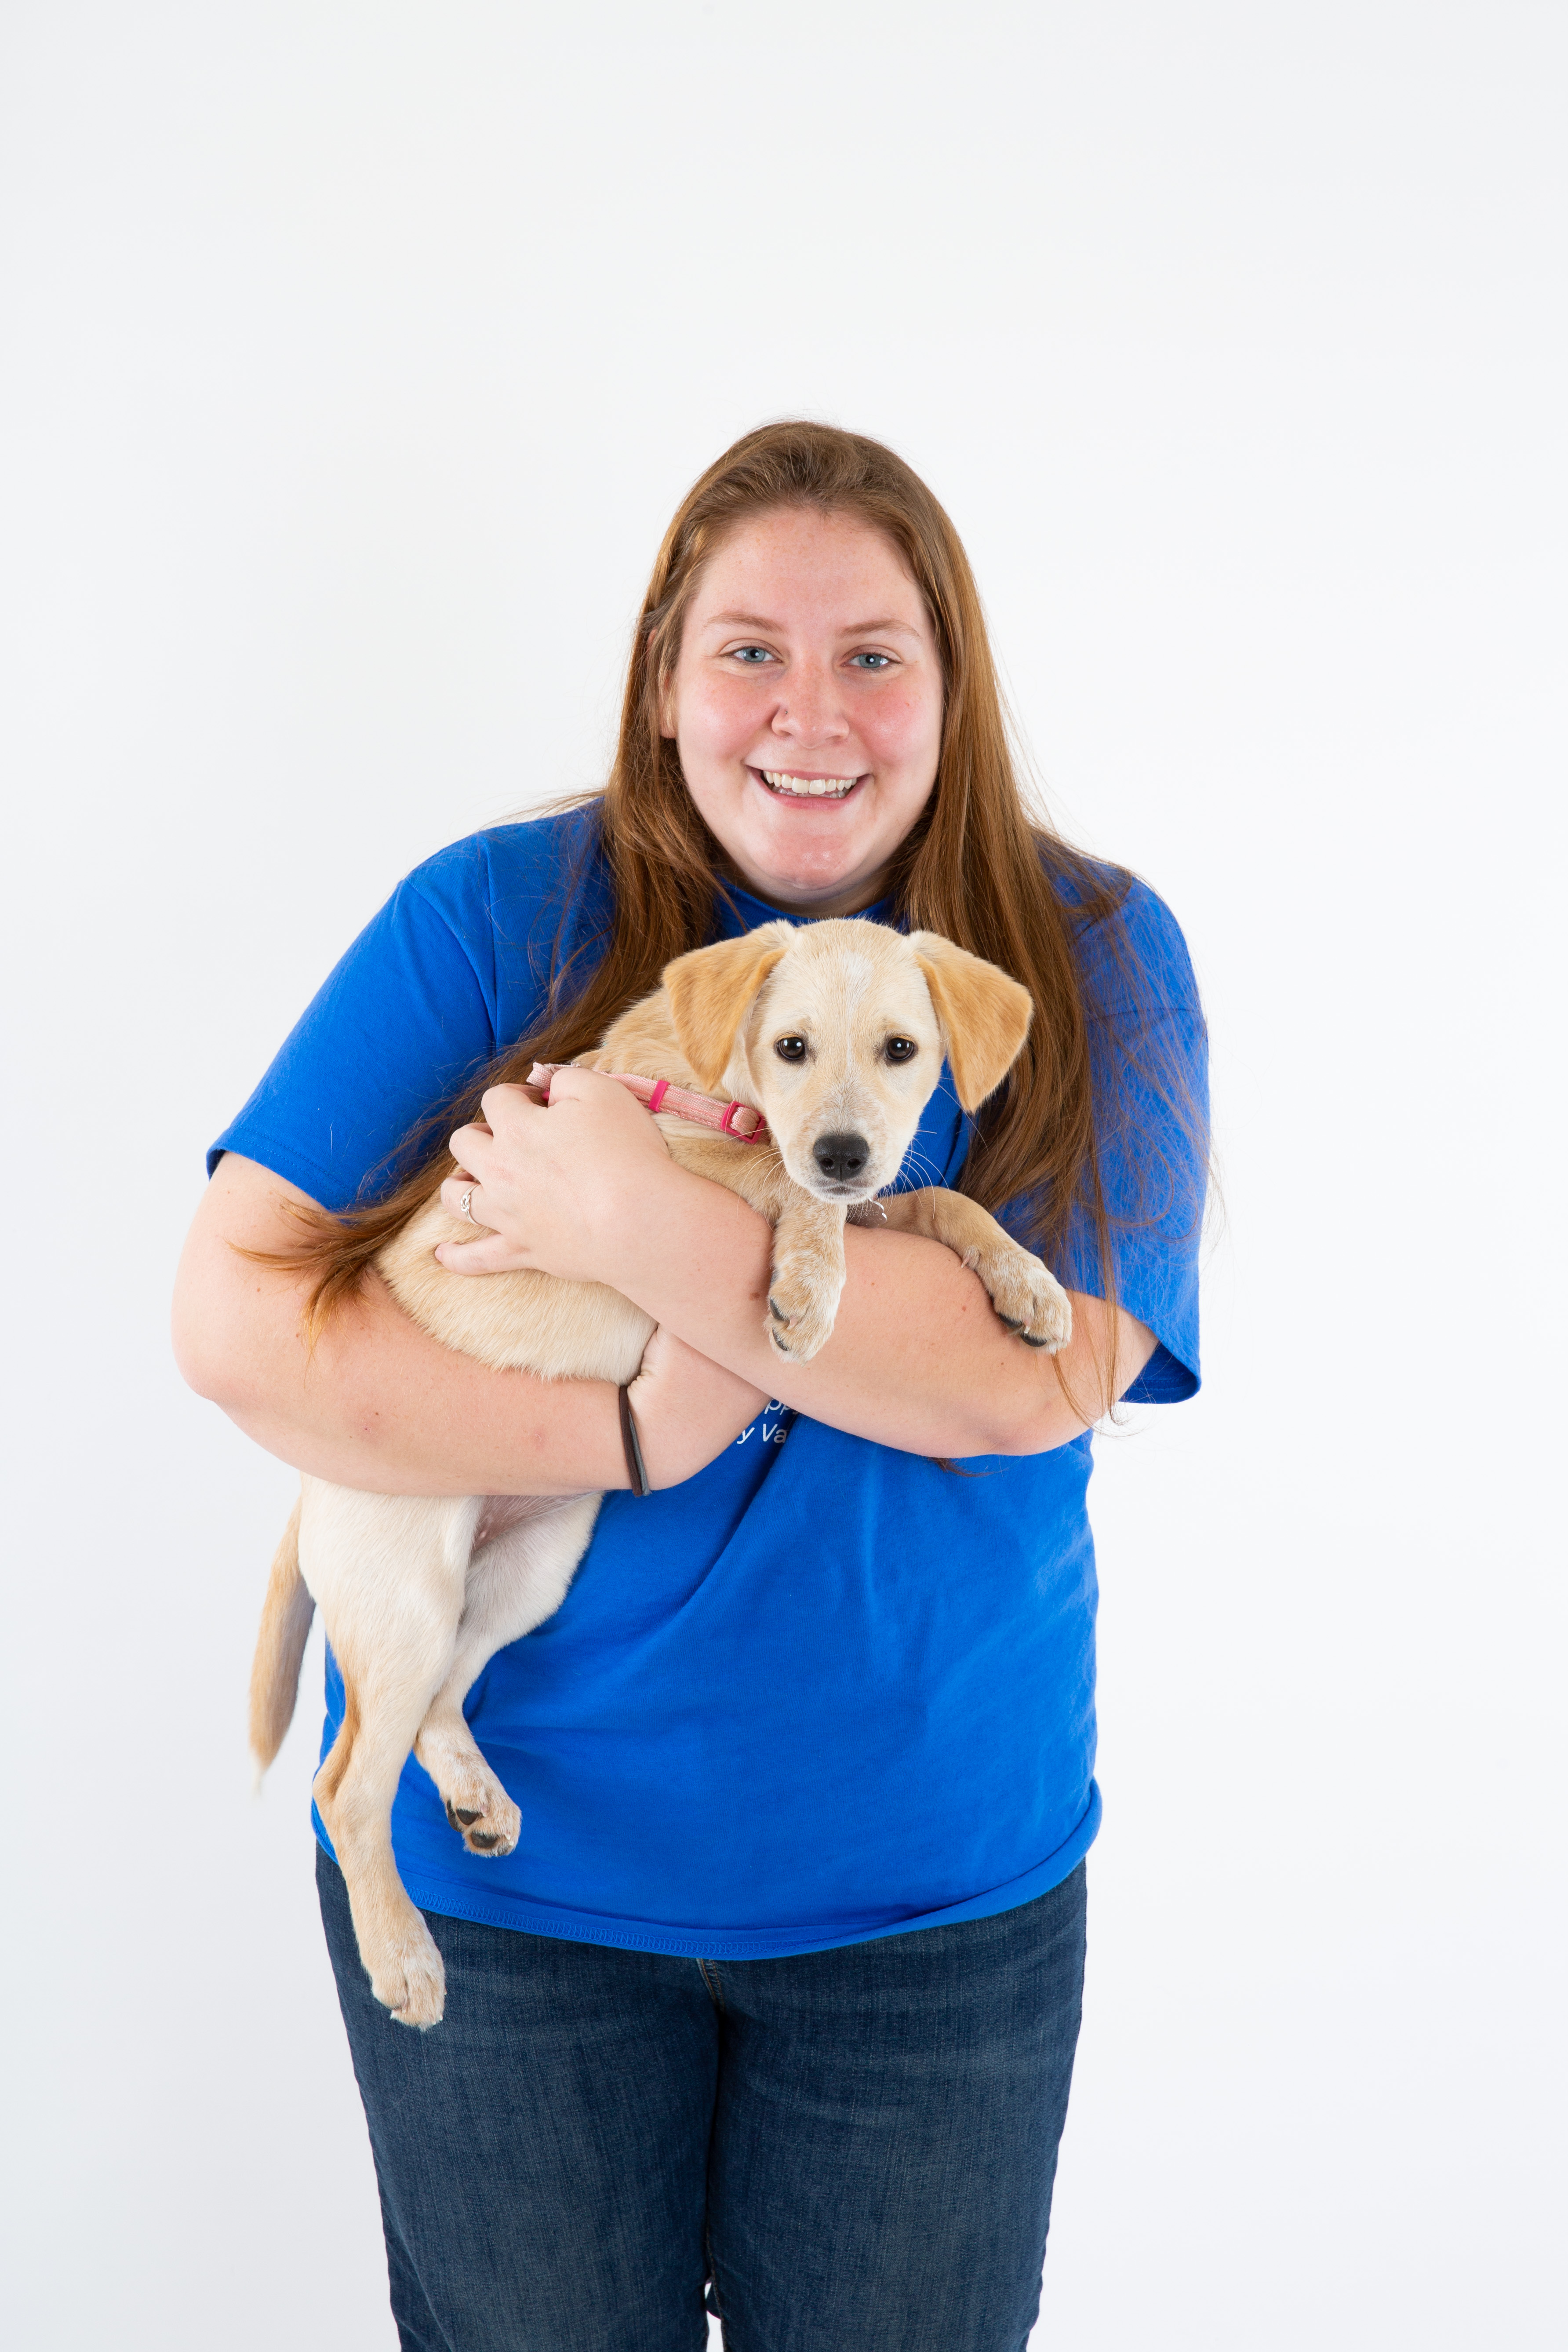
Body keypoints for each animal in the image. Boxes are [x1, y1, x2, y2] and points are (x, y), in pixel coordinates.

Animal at [251, 917, 1072, 2023]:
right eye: (791, 1048)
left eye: (900, 1051)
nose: (845, 1152)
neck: (718, 1083)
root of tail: (311, 1488)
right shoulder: (668, 1168)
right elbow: (786, 1186)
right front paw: (809, 1285)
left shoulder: (864, 1195)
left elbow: (938, 1197)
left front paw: (1027, 1281)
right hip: (407, 1598)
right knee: (345, 1787)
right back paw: (403, 1955)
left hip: (529, 1571)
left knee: (434, 1710)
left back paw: (475, 1797)